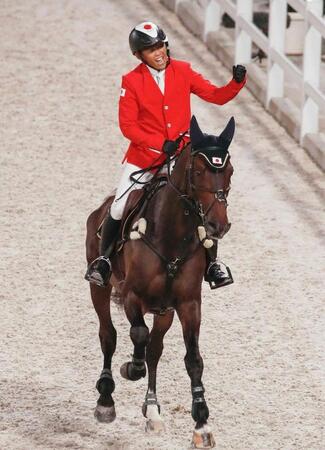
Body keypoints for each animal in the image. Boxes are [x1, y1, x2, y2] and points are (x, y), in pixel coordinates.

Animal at [85, 115, 234, 446]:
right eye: (199, 171)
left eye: (229, 171)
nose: (218, 225)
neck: (171, 236)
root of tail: (100, 207)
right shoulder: (132, 297)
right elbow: (137, 334)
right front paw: (131, 368)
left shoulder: (188, 305)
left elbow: (193, 359)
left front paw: (201, 424)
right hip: (99, 288)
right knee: (109, 335)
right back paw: (106, 401)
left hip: (165, 311)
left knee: (154, 348)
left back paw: (152, 410)